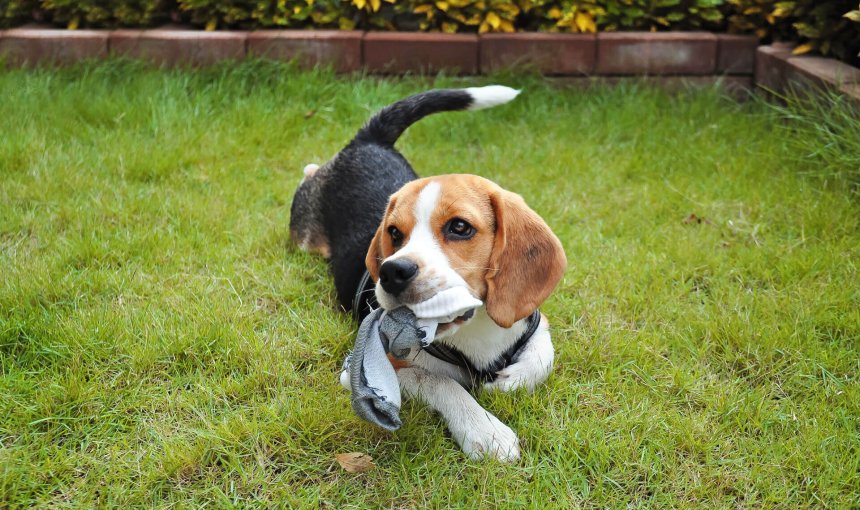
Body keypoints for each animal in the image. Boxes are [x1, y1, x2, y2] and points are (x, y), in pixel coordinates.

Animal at [292, 85, 568, 460]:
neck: (474, 334)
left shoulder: (532, 321)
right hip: (304, 238)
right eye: (394, 233)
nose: (392, 272)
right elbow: (440, 381)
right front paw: (485, 430)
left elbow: (543, 355)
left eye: (460, 227)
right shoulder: (359, 373)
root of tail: (369, 140)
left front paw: (512, 380)